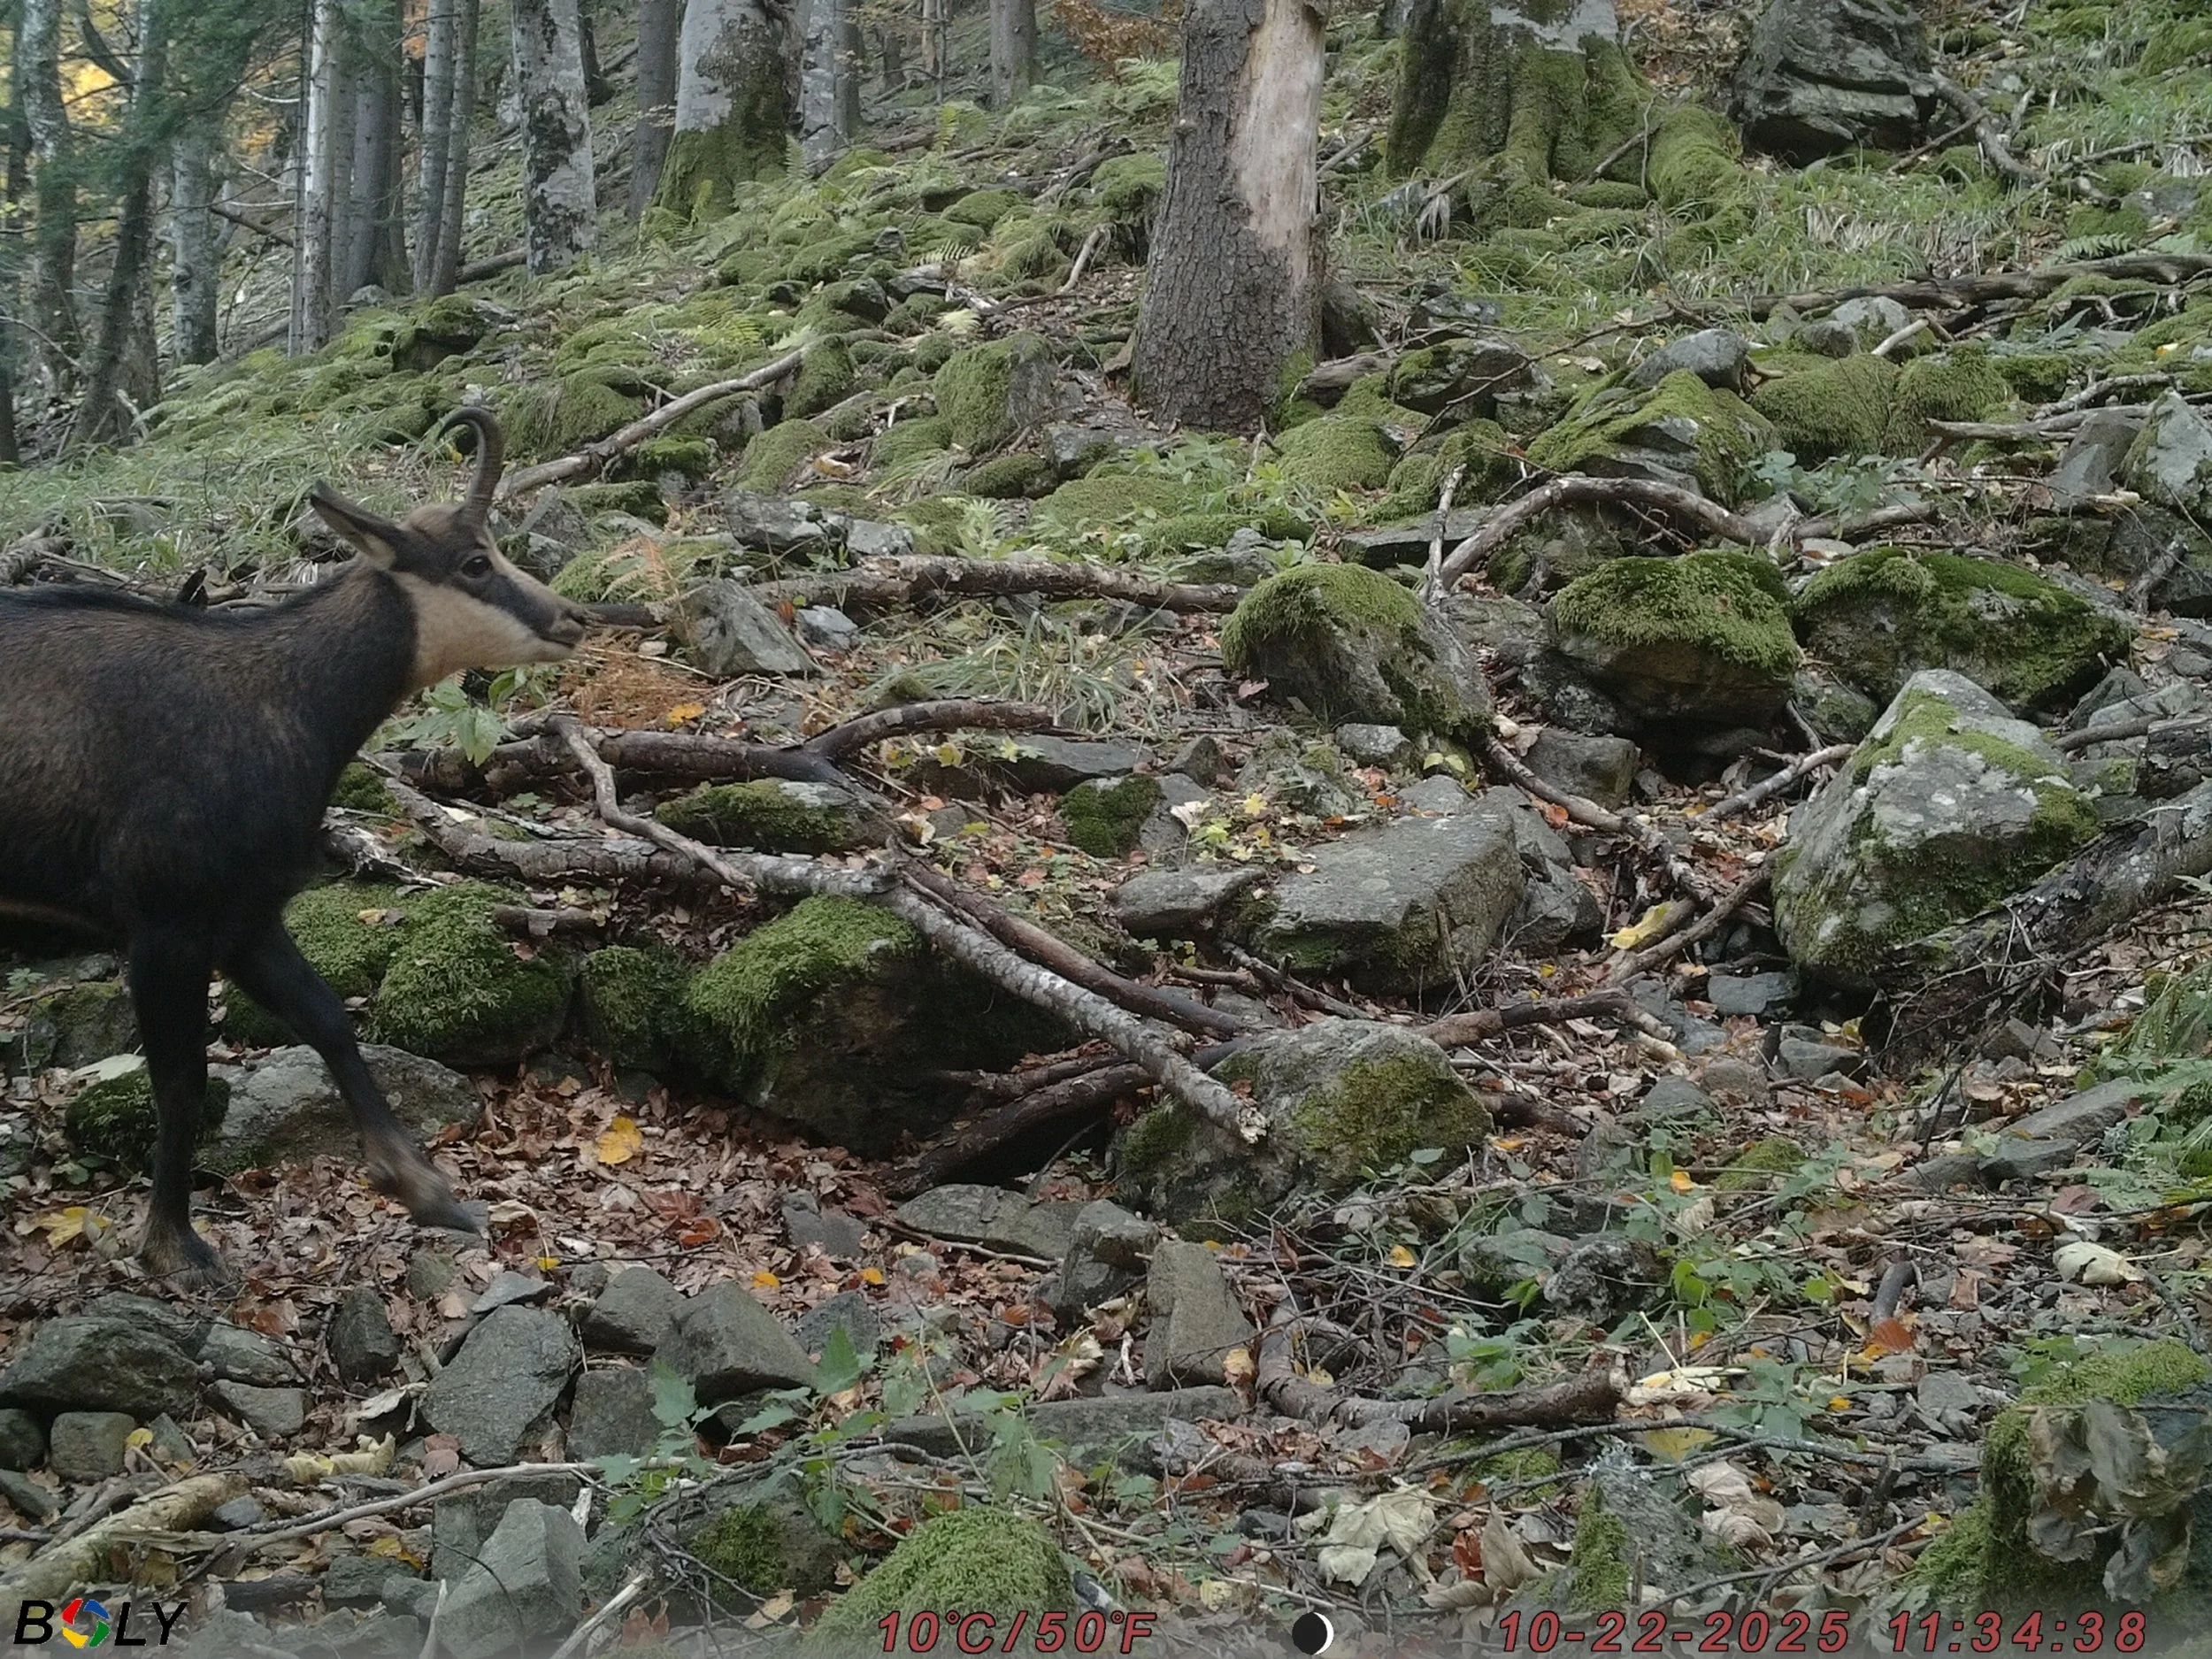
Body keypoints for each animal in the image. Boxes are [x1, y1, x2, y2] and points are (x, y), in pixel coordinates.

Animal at [0, 409, 591, 1285]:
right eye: (476, 562)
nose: (572, 619)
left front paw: (427, 1190)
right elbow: (182, 1082)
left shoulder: (247, 919)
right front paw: (174, 1242)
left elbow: (329, 1018)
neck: (281, 699)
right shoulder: (166, 924)